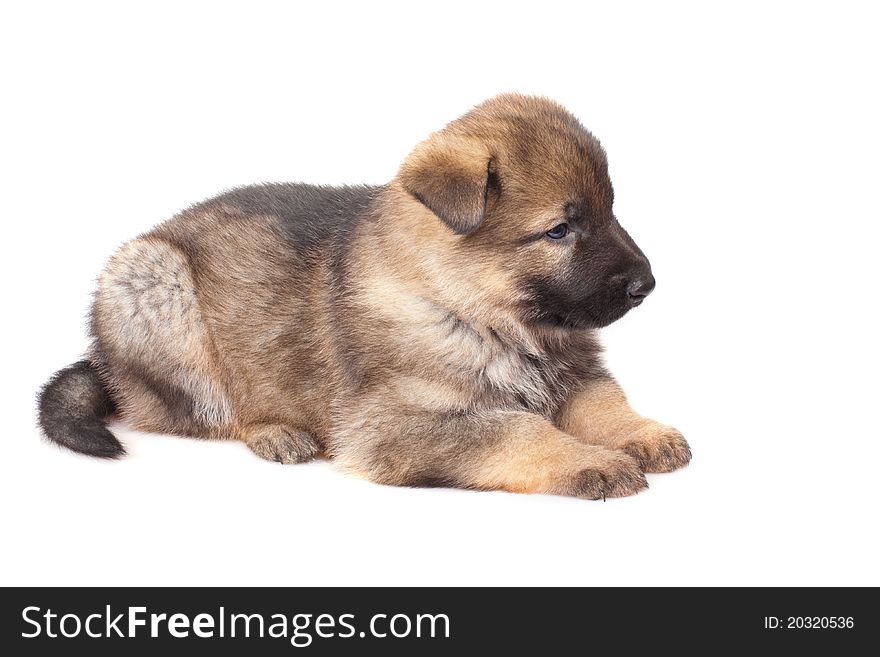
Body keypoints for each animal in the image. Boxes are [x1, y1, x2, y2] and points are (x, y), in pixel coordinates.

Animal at [39, 93, 688, 498]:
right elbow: (517, 430)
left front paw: (642, 433)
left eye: (610, 211)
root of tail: (104, 361)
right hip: (155, 285)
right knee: (206, 411)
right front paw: (592, 460)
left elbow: (604, 401)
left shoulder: (574, 372)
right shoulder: (394, 426)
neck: (472, 310)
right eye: (559, 230)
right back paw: (274, 431)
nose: (647, 284)